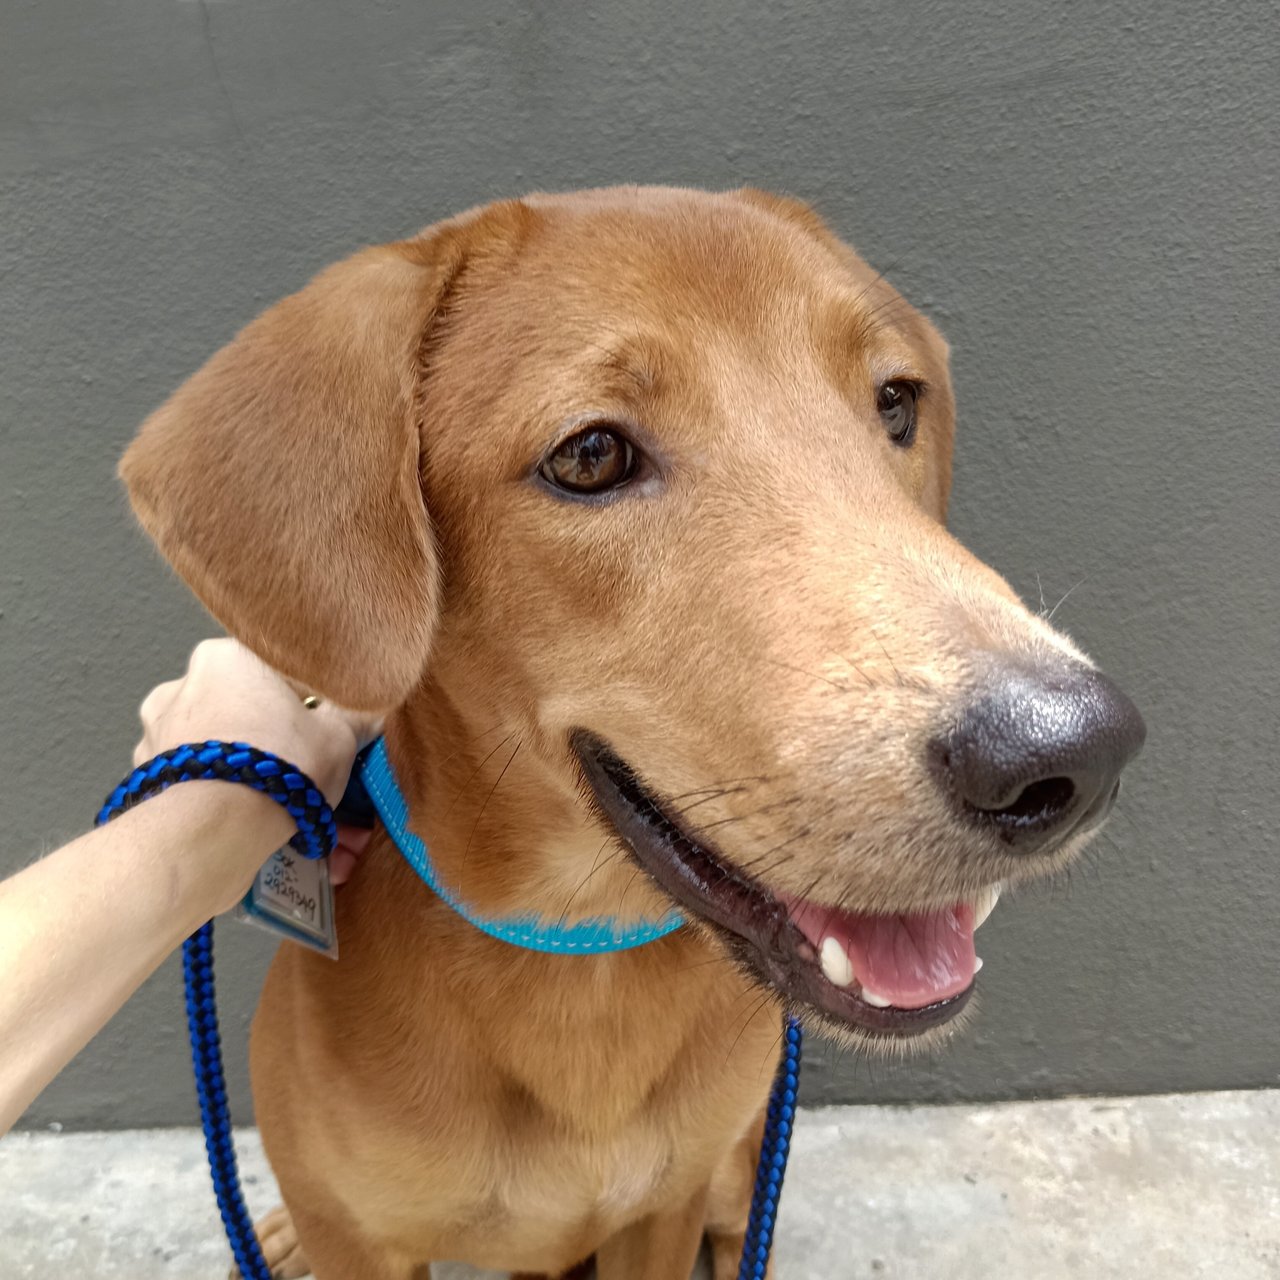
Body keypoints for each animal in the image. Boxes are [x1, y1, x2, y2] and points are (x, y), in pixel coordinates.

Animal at [120, 185, 1146, 1274]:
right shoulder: (356, 1233)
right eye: (591, 454)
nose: (1072, 751)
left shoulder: (669, 1204)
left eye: (894, 402)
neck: (581, 964)